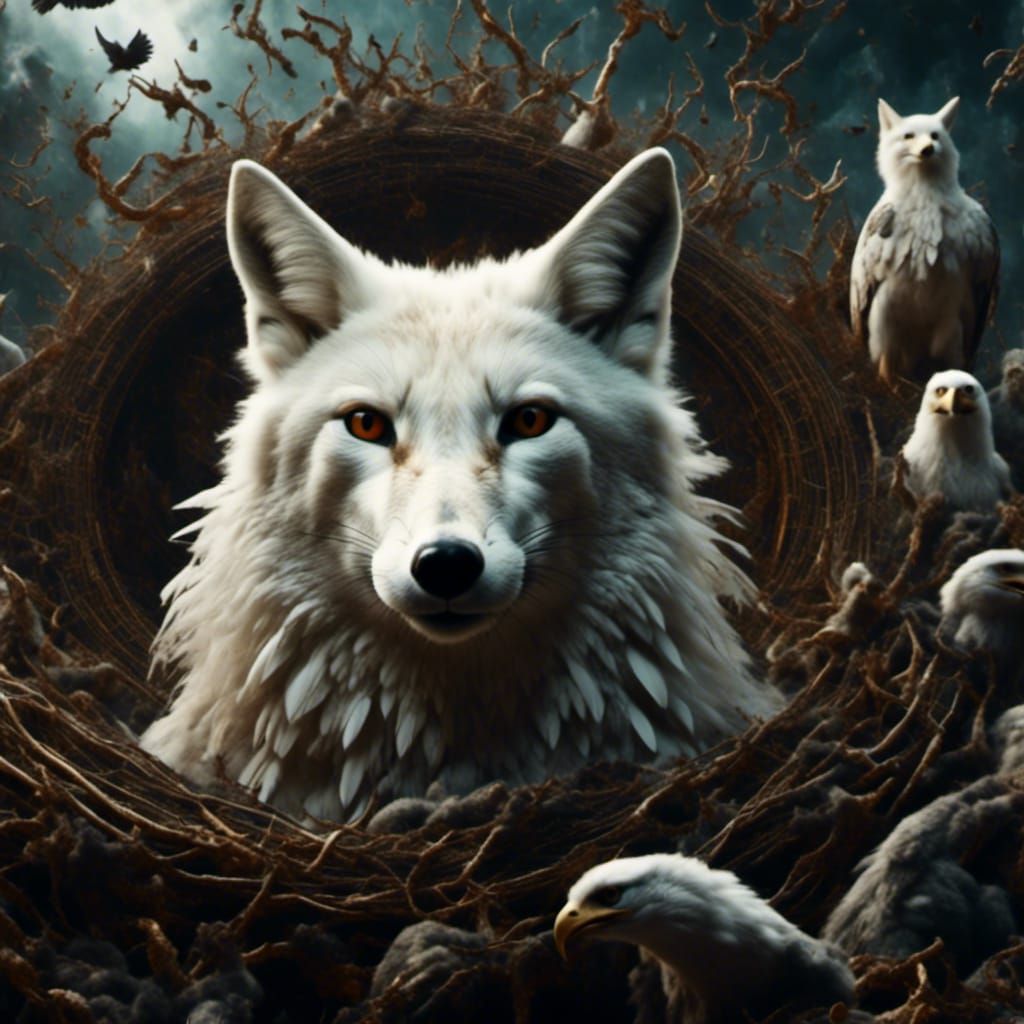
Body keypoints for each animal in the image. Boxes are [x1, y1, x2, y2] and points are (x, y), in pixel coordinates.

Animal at [850, 97, 999, 384]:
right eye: (908, 136)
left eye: (935, 135)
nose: (928, 149)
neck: (925, 195)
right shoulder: (880, 314)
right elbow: (885, 362)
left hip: (954, 326)